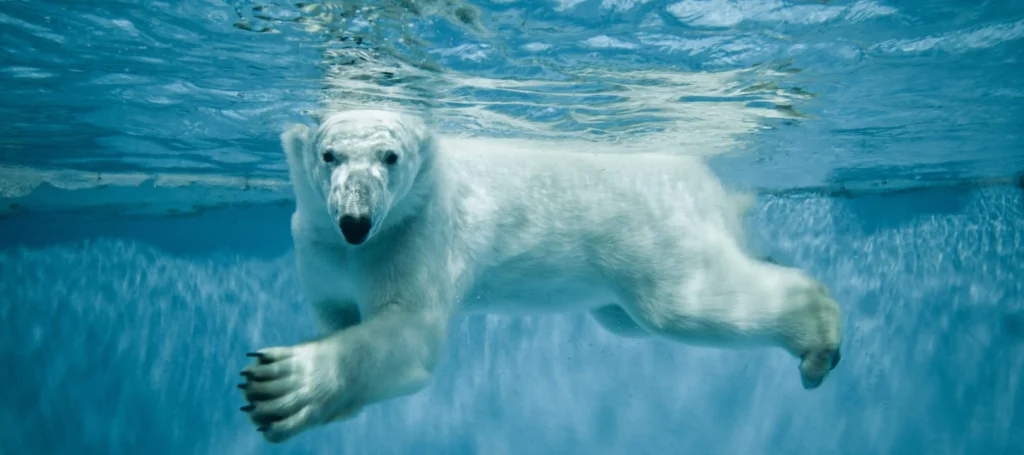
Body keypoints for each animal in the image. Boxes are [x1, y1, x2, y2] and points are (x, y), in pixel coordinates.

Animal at [237, 108, 839, 442]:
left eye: (390, 156)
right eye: (329, 155)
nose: (356, 222)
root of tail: (705, 181)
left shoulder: (416, 233)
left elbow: (408, 334)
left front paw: (282, 384)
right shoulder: (317, 246)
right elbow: (336, 312)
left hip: (649, 233)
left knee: (682, 306)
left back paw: (818, 337)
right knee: (627, 318)